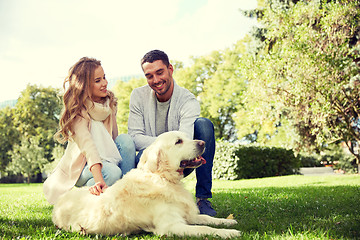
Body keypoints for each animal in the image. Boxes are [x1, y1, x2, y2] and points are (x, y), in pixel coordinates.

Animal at [51, 131, 242, 238]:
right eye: (178, 141)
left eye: (188, 137)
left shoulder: (187, 215)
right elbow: (204, 228)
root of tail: (60, 200)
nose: (202, 142)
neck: (162, 178)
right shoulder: (171, 226)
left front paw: (228, 222)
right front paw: (229, 233)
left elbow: (206, 219)